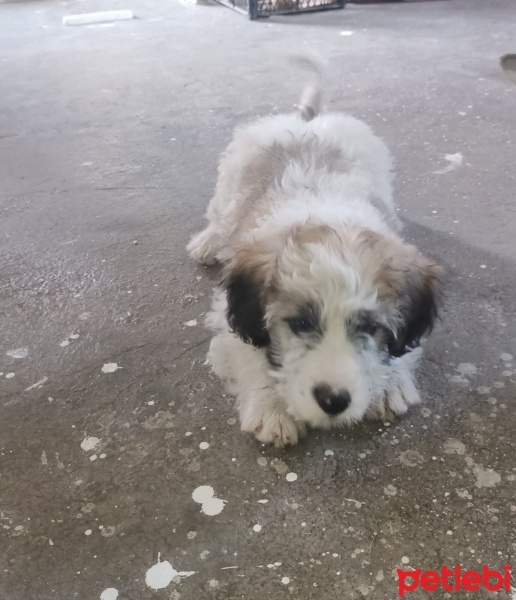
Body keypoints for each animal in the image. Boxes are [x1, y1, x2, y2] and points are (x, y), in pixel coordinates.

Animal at [187, 59, 442, 446]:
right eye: (300, 324)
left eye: (370, 327)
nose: (333, 400)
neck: (328, 214)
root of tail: (305, 121)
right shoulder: (230, 318)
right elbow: (250, 352)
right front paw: (271, 407)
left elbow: (402, 348)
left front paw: (390, 383)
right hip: (229, 182)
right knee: (219, 217)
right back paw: (207, 242)